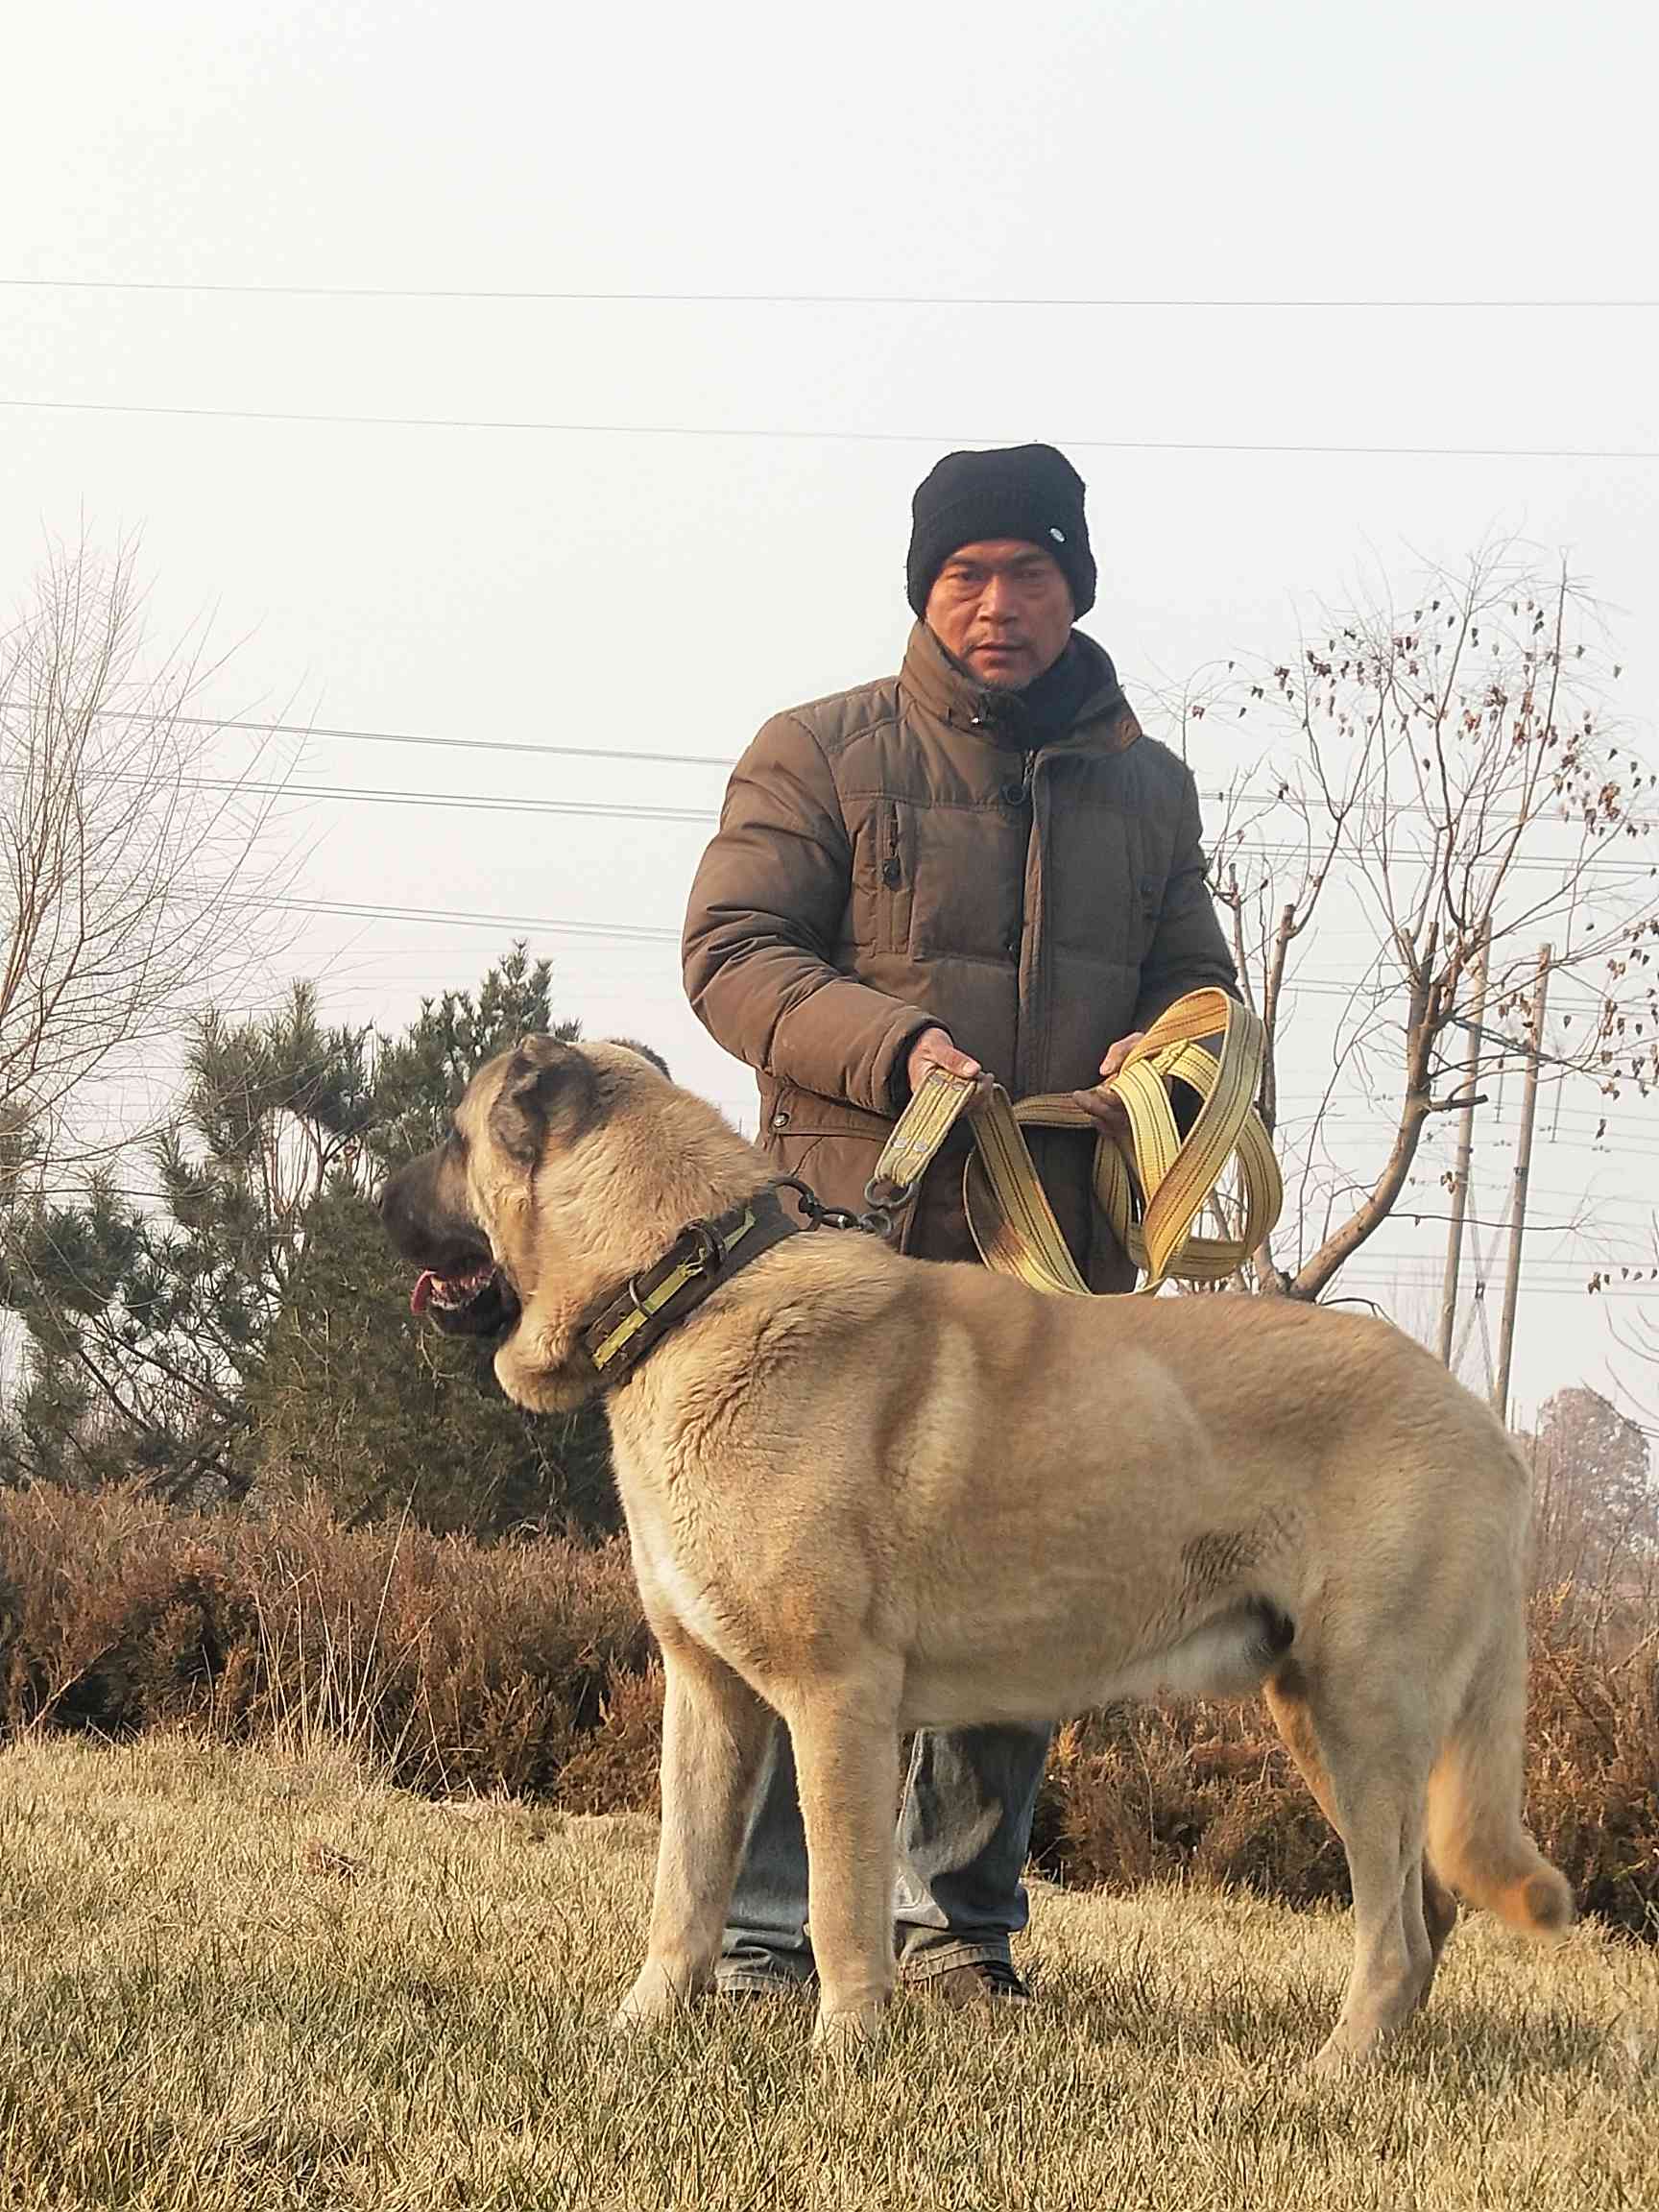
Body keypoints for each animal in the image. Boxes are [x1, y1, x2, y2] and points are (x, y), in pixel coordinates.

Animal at [382, 1035, 1575, 2070]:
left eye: (452, 1137)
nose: (375, 1200)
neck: (691, 1285)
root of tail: (1491, 1432)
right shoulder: (709, 1695)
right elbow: (685, 1883)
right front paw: (642, 2027)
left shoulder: (837, 1703)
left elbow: (840, 1898)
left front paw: (845, 2052)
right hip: (1322, 1719)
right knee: (1425, 1906)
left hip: (1362, 1713)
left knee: (1398, 1929)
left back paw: (1332, 2072)